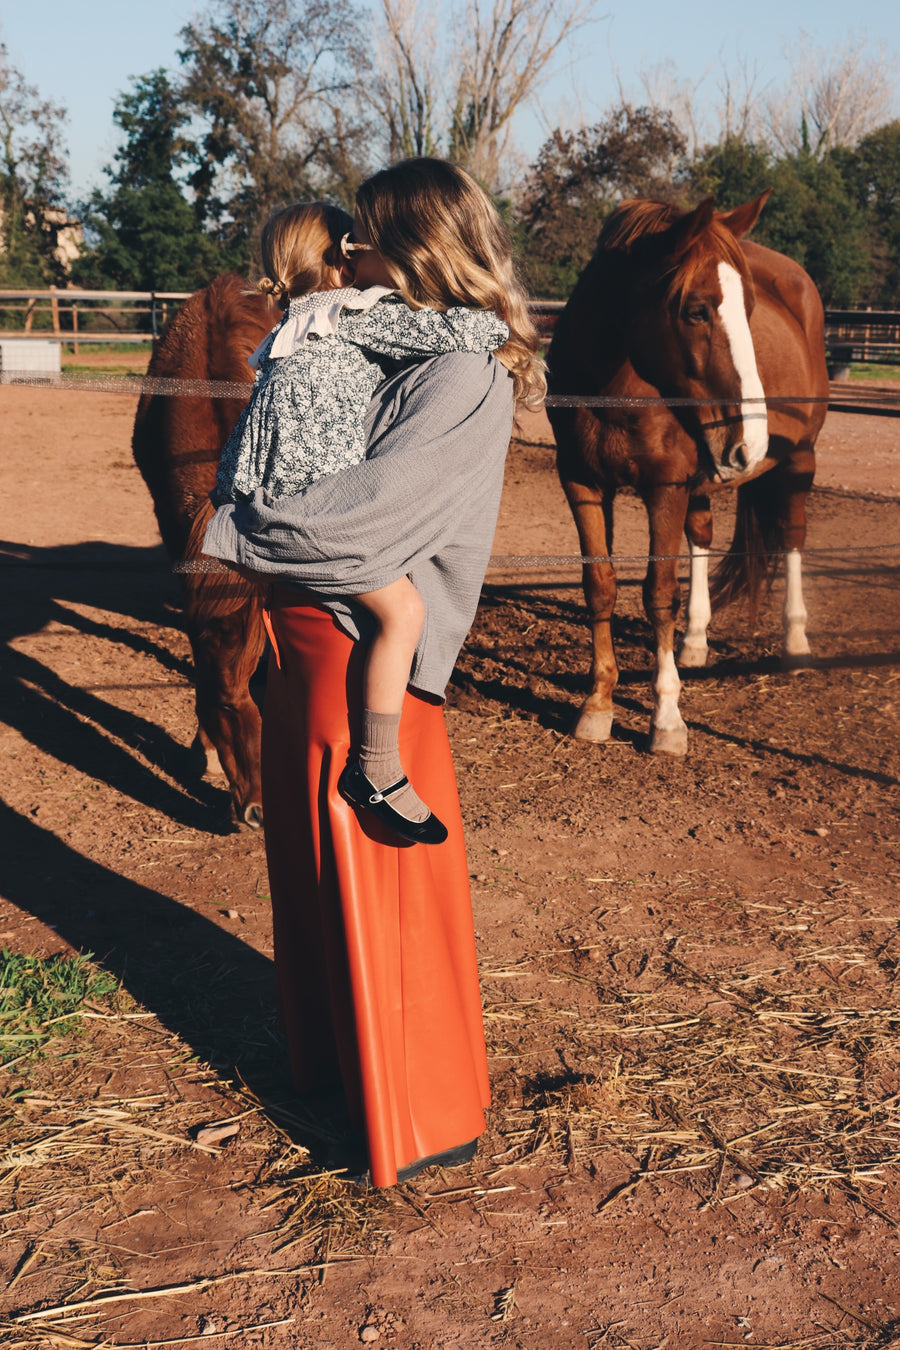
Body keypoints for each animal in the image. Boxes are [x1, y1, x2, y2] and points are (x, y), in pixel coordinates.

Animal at [545, 194, 825, 756]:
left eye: (750, 309)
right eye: (697, 310)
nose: (752, 443)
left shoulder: (664, 486)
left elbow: (658, 595)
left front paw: (667, 720)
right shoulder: (582, 482)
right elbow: (600, 586)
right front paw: (597, 705)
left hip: (799, 460)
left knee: (792, 536)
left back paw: (795, 642)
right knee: (702, 535)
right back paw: (695, 640)